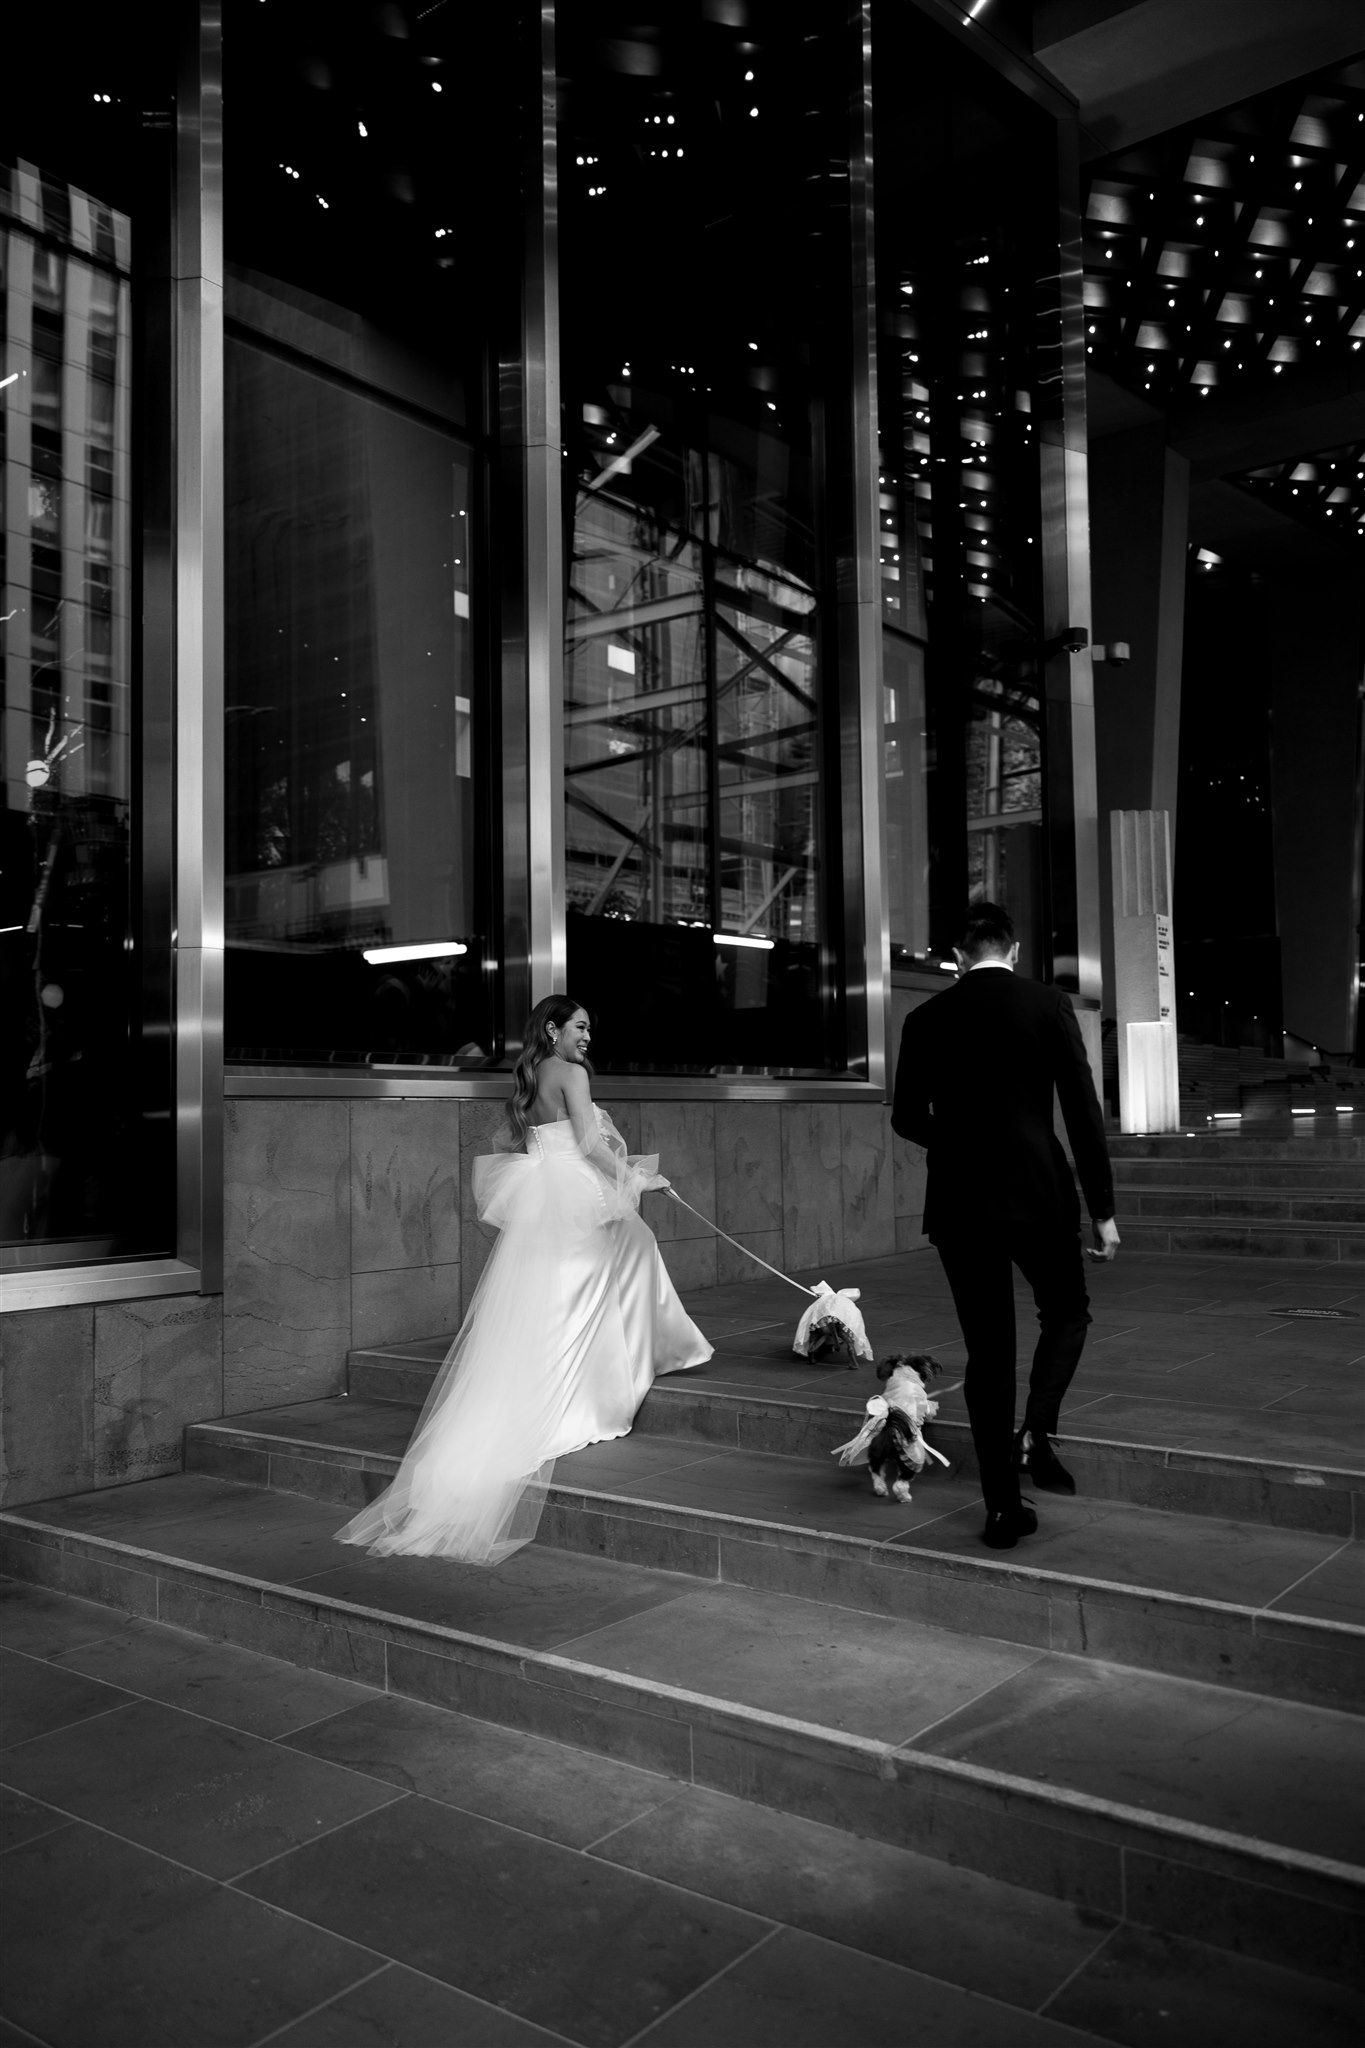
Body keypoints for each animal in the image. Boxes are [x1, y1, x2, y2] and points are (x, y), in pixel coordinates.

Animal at [826, 1351, 957, 1499]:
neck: (905, 1377)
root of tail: (889, 1429)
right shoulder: (923, 1404)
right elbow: (930, 1408)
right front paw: (934, 1408)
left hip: (876, 1455)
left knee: (876, 1473)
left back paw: (881, 1490)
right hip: (910, 1457)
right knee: (901, 1482)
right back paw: (904, 1497)